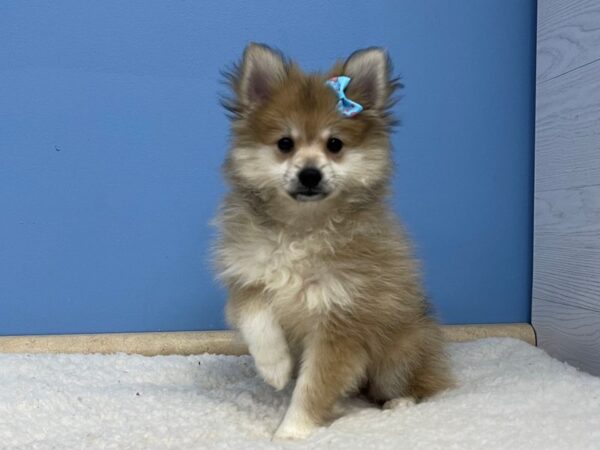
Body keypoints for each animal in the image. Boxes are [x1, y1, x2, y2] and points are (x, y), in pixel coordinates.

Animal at [213, 43, 452, 440]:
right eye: (285, 144)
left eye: (335, 144)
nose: (310, 173)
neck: (302, 230)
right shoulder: (247, 276)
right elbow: (257, 316)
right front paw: (275, 367)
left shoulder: (342, 321)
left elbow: (314, 386)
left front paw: (291, 432)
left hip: (398, 354)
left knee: (417, 384)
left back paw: (400, 403)